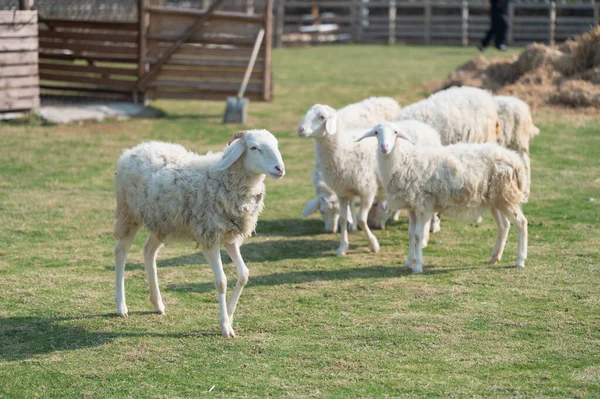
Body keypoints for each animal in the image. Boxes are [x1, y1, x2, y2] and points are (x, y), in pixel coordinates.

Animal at [113, 130, 286, 338]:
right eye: (254, 147)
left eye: (276, 145)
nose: (280, 169)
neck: (222, 177)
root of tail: (135, 149)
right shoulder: (210, 236)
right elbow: (221, 281)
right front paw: (225, 326)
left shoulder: (230, 238)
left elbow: (244, 274)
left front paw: (229, 315)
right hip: (128, 213)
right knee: (121, 251)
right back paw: (121, 307)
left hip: (161, 222)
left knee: (148, 252)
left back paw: (158, 303)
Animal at [358, 122, 528, 276]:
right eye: (376, 132)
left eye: (395, 132)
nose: (384, 147)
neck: (403, 161)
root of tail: (515, 159)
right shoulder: (412, 207)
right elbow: (411, 234)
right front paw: (408, 262)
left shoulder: (423, 204)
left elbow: (419, 235)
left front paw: (417, 266)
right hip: (496, 199)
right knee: (504, 226)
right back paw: (494, 257)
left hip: (505, 194)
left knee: (521, 222)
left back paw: (520, 261)